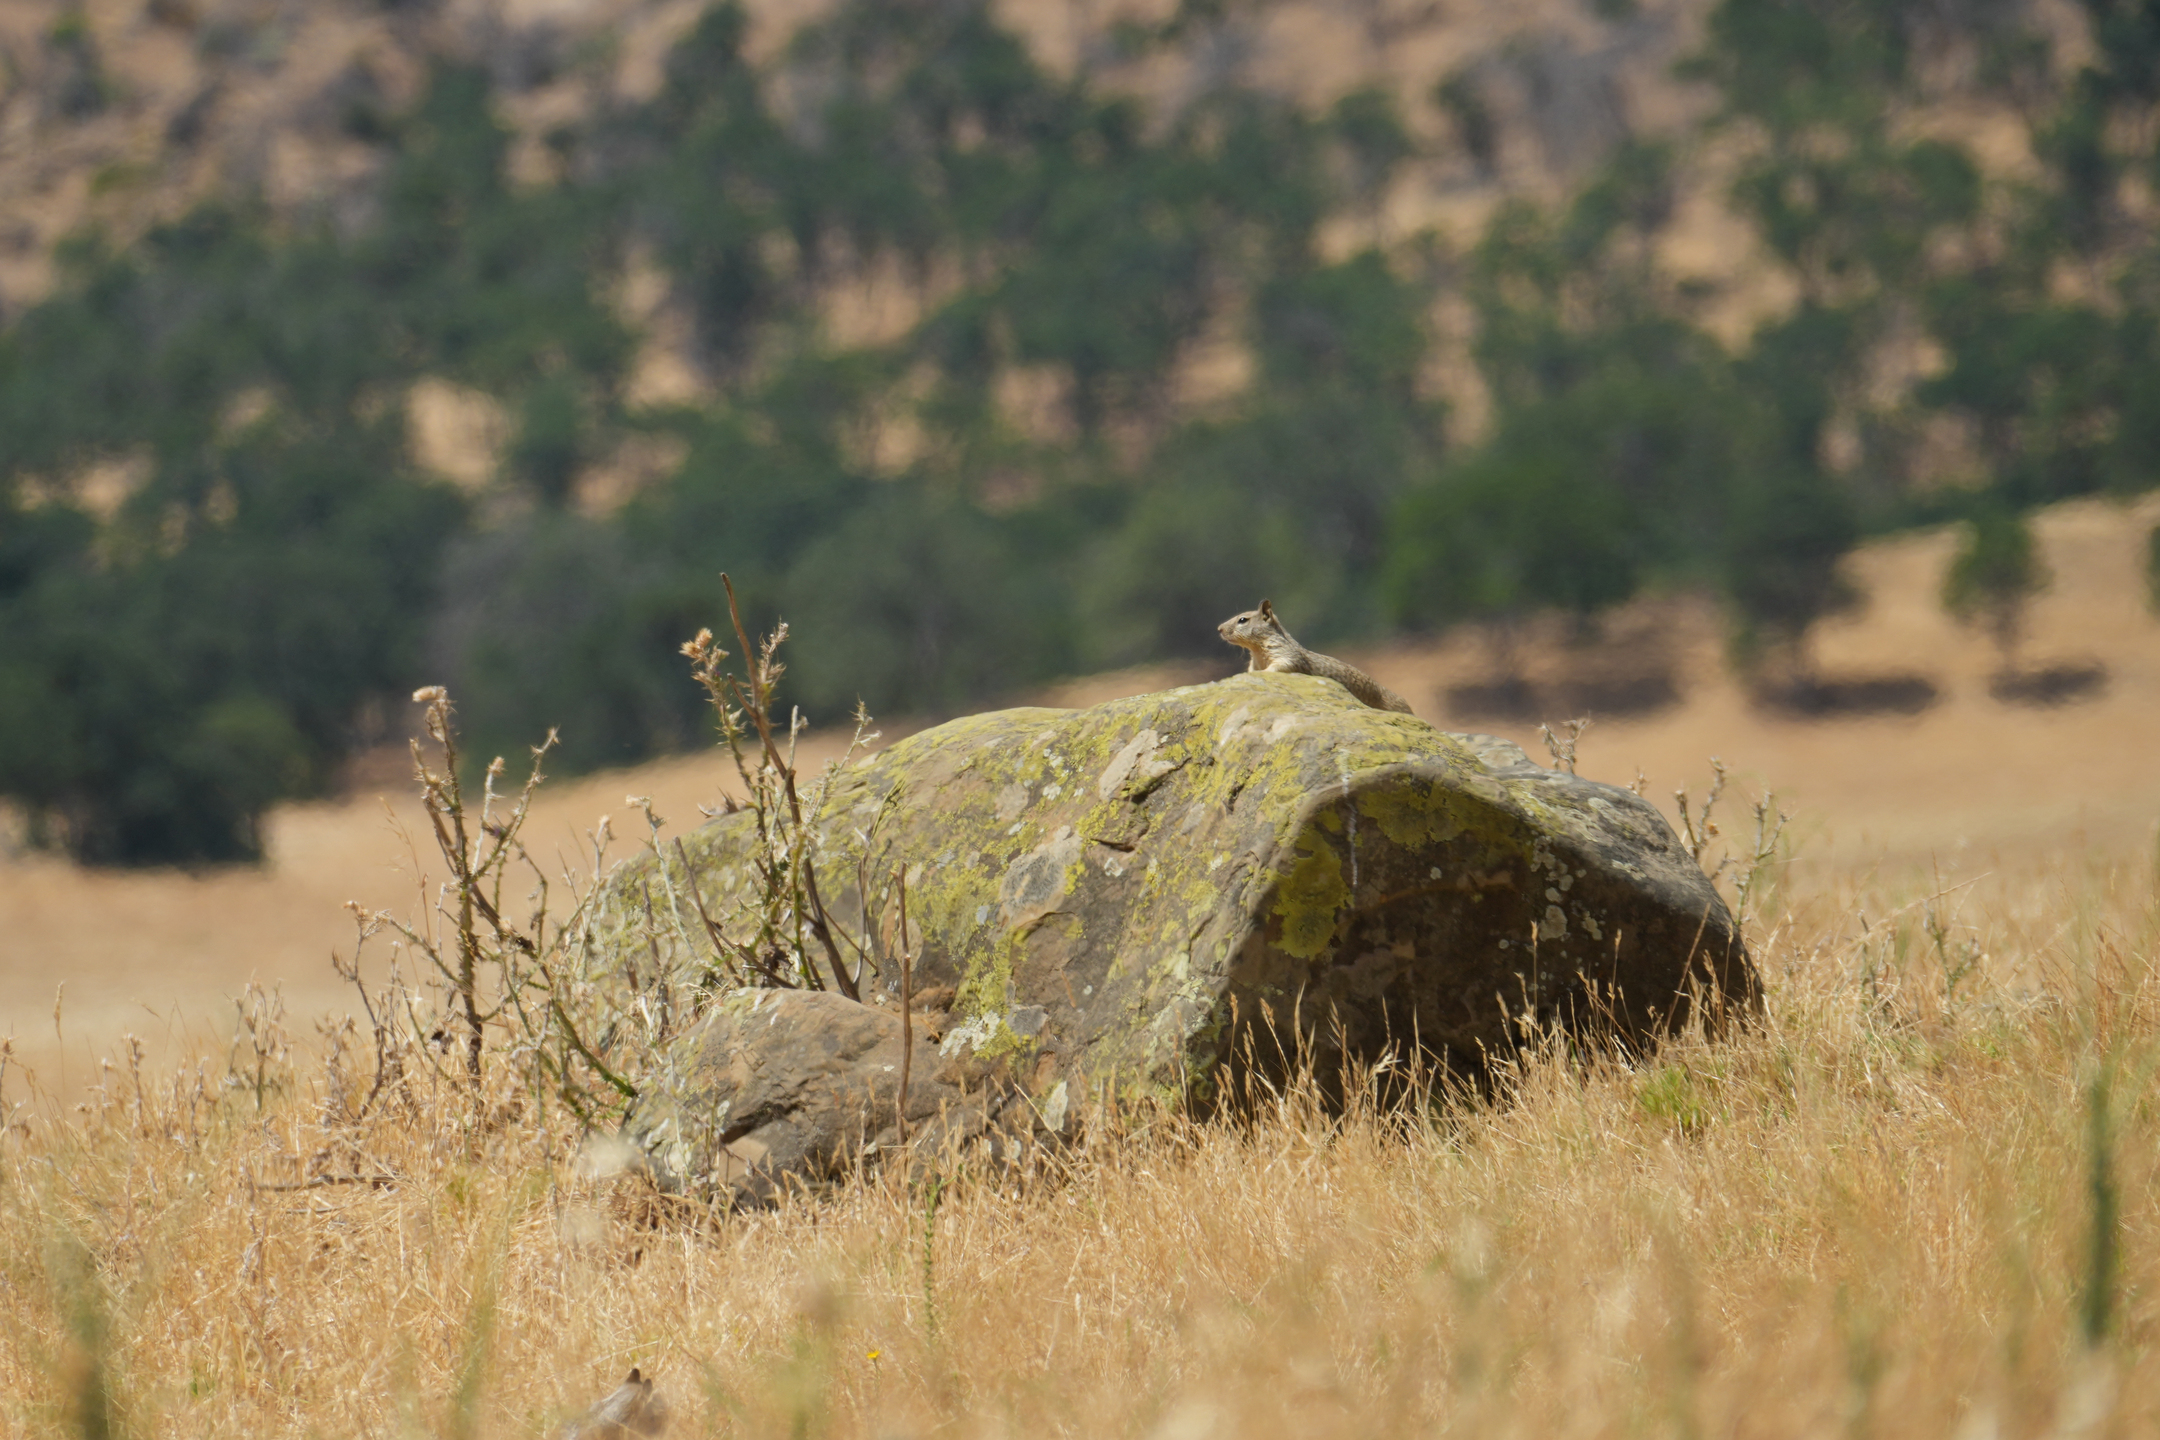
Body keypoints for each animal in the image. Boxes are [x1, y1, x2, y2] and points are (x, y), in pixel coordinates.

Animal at [1217, 599, 1414, 714]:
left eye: (1243, 620)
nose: (1218, 629)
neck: (1257, 652)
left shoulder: (1286, 655)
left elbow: (1281, 666)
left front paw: (1265, 673)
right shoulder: (1254, 664)